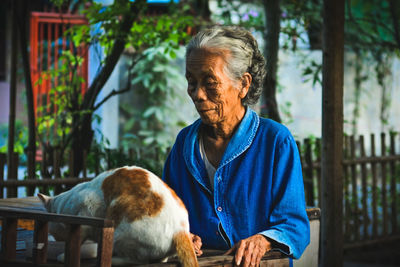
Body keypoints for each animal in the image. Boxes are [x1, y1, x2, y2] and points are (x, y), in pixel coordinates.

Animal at [38, 166, 198, 266]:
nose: (55, 237)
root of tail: (181, 230)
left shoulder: (87, 210)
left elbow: (77, 241)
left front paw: (65, 256)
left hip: (119, 229)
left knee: (139, 261)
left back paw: (113, 259)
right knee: (159, 260)